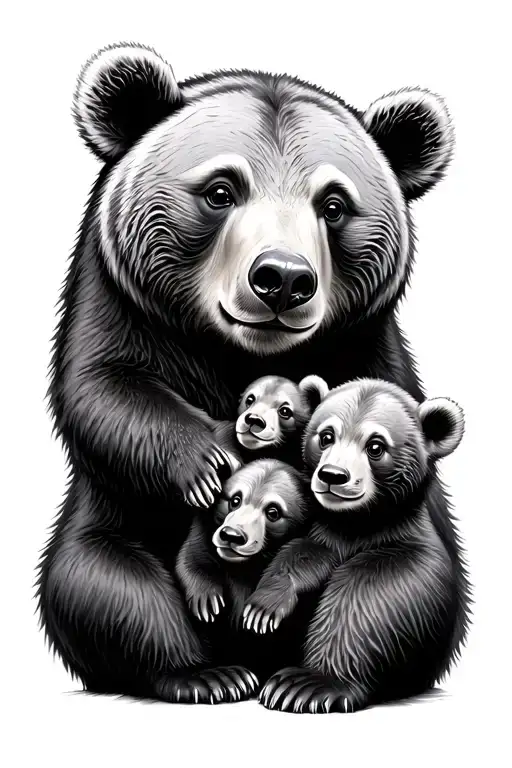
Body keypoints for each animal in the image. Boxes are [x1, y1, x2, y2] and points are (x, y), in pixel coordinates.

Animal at [176, 459, 312, 693]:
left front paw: (264, 606)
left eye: (273, 512)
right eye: (235, 500)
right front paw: (206, 598)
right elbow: (191, 556)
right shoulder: (204, 532)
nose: (232, 535)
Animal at [245, 378, 465, 712]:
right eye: (326, 436)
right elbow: (302, 555)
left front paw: (306, 684)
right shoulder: (327, 533)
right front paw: (264, 606)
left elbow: (371, 596)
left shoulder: (406, 551)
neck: (360, 524)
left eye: (376, 446)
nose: (332, 475)